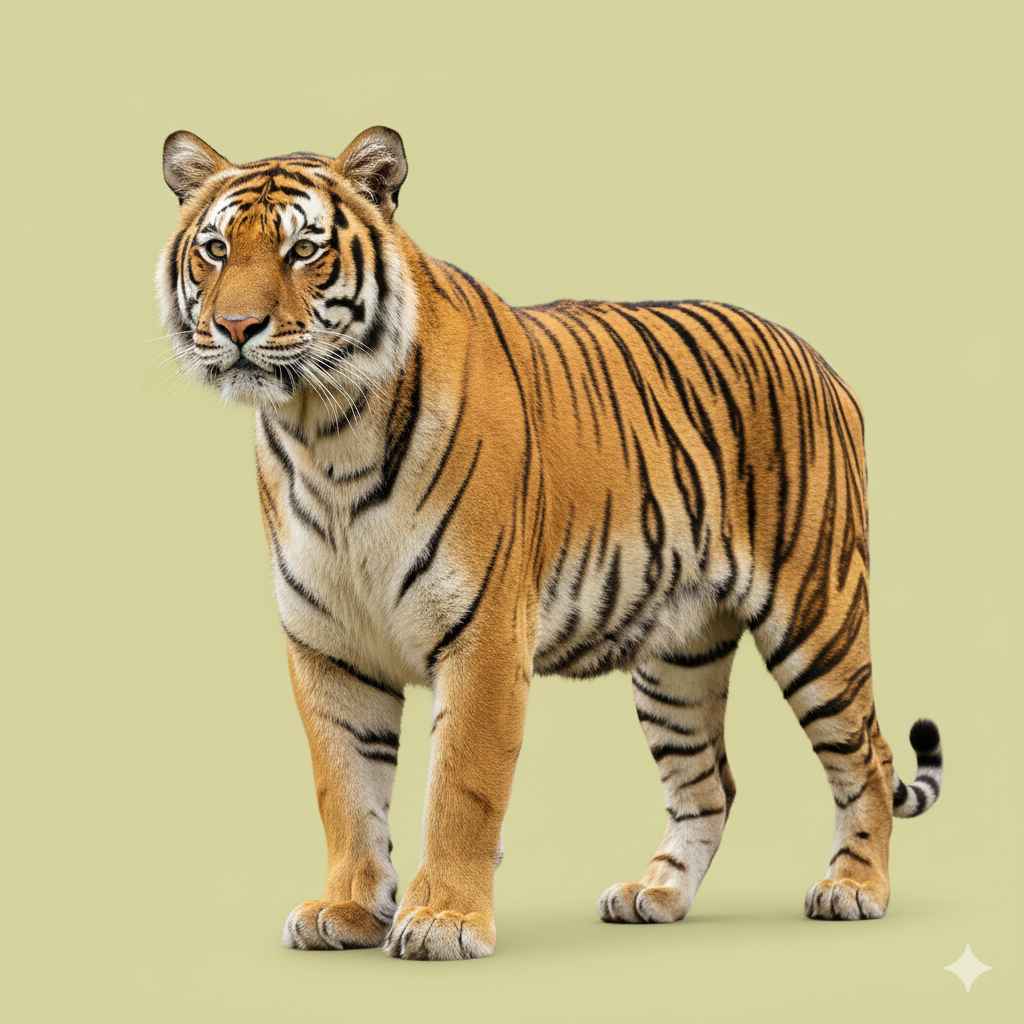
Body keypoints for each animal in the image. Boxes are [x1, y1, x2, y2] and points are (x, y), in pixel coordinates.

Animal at [157, 125, 944, 961]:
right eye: (215, 250)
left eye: (303, 249)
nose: (237, 329)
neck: (323, 433)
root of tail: (817, 359)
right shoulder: (328, 648)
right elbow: (344, 789)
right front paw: (347, 909)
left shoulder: (485, 635)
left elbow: (461, 786)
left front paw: (443, 920)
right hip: (678, 658)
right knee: (709, 784)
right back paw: (656, 894)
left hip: (817, 617)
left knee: (868, 754)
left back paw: (854, 888)